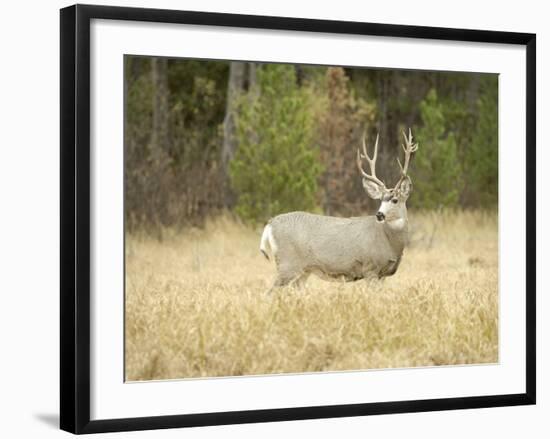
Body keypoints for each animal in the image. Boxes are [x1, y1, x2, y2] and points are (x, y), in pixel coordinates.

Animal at [258, 129, 418, 294]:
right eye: (381, 200)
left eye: (395, 200)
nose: (379, 214)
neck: (390, 242)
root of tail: (271, 223)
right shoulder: (370, 267)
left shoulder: (383, 275)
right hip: (287, 263)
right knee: (269, 293)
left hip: (303, 271)